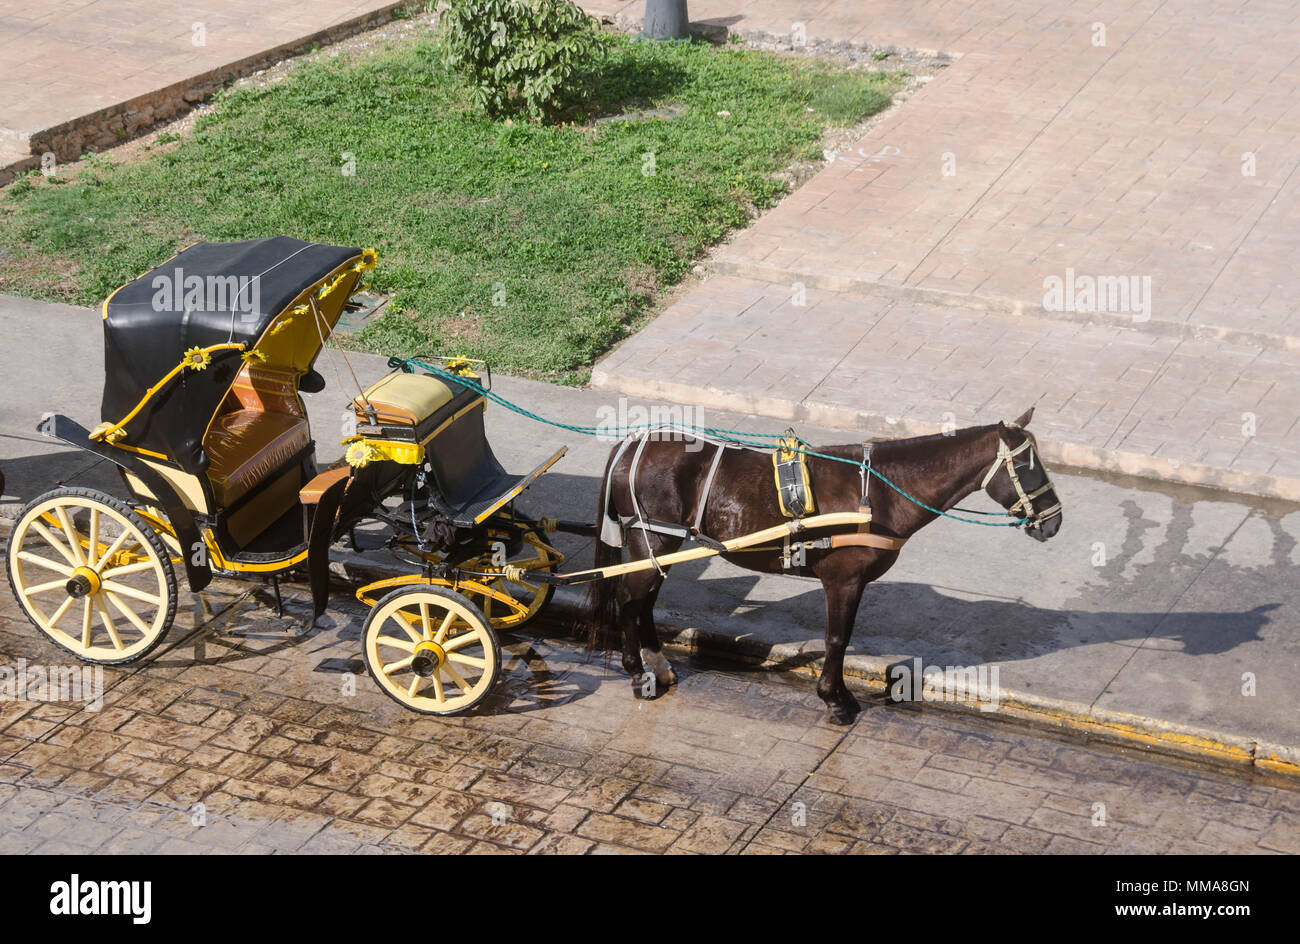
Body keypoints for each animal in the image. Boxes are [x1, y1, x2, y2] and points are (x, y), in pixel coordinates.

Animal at [585, 405, 1060, 722]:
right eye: (1026, 464)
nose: (1053, 520)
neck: (879, 491)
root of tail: (631, 444)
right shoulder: (843, 579)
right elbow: (837, 639)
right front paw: (835, 699)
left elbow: (840, 639)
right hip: (652, 540)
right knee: (630, 601)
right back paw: (637, 674)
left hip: (660, 547)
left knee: (643, 602)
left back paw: (659, 667)